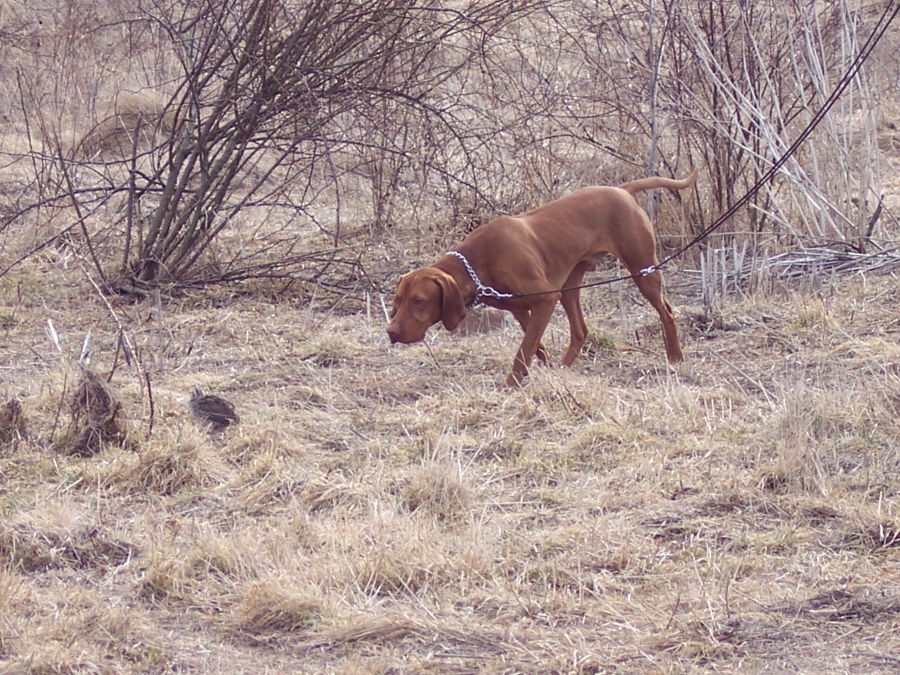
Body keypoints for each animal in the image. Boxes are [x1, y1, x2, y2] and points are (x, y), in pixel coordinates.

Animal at [387, 168, 698, 387]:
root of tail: (622, 189)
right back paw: (564, 368)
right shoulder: (524, 306)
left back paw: (675, 356)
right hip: (571, 284)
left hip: (642, 269)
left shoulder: (546, 298)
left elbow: (523, 350)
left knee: (667, 311)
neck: (476, 263)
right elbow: (535, 345)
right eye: (396, 301)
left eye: (418, 301)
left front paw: (510, 385)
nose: (391, 332)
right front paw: (542, 372)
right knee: (580, 330)